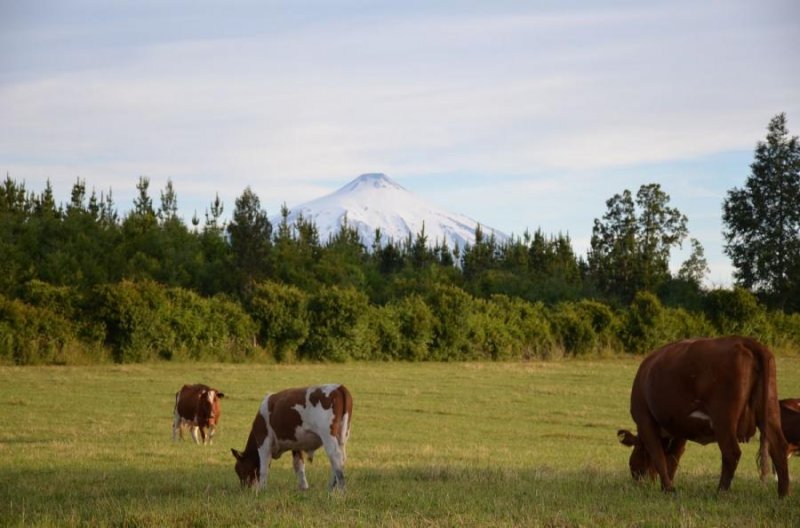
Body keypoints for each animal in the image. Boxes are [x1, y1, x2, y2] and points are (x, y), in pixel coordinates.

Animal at [616, 336, 792, 498]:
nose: (637, 476)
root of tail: (743, 340)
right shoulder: (679, 429)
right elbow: (672, 460)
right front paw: (669, 488)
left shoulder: (645, 421)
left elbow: (659, 457)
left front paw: (667, 488)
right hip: (770, 410)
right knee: (778, 448)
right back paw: (783, 494)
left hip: (723, 419)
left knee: (731, 452)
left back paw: (721, 492)